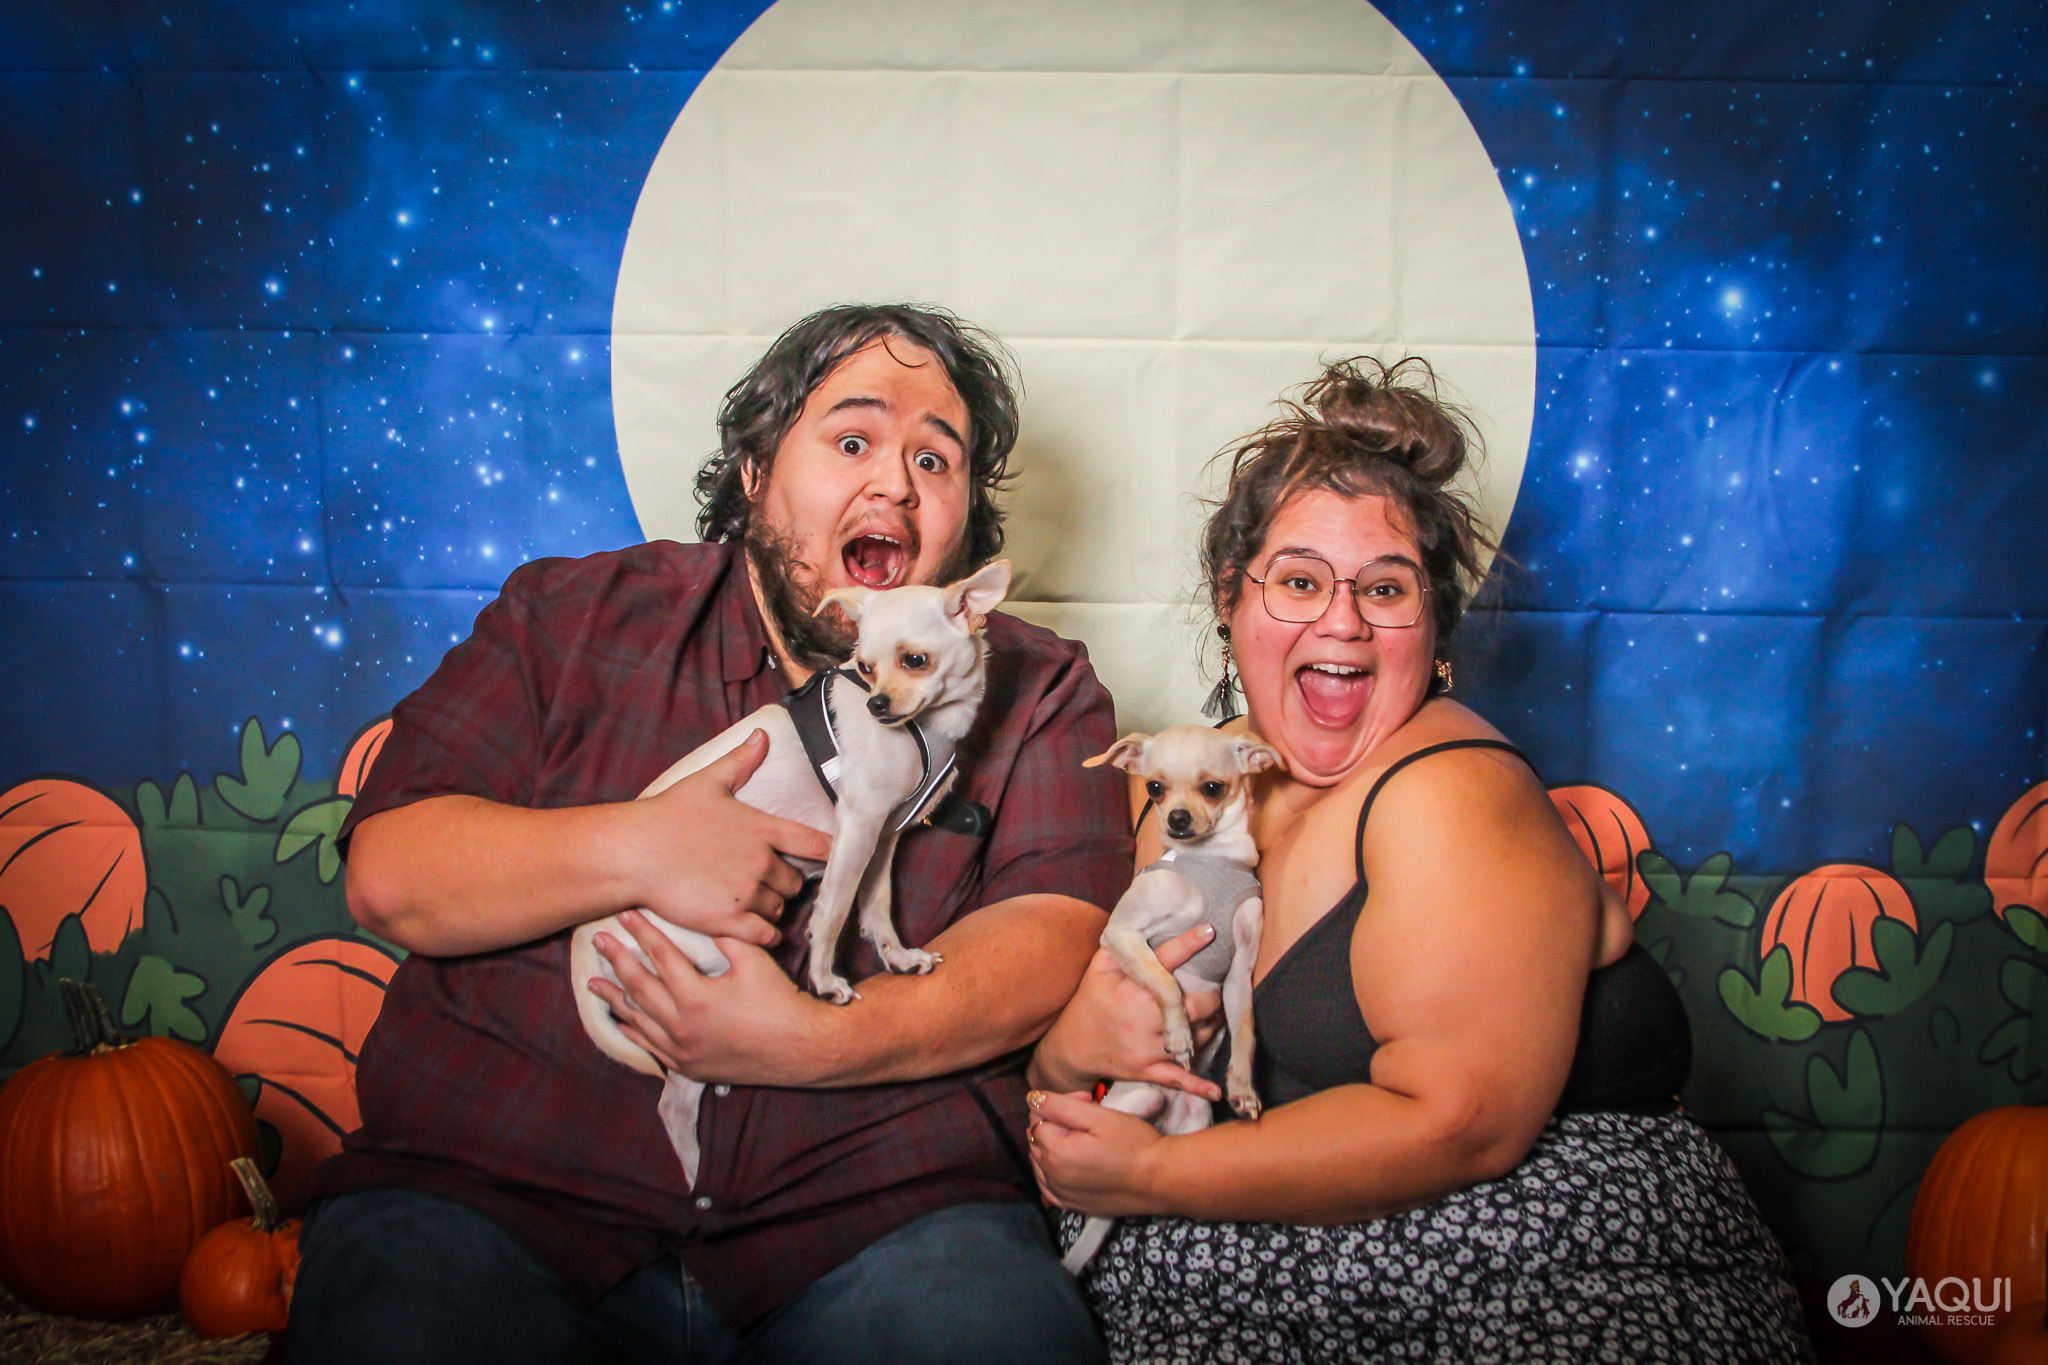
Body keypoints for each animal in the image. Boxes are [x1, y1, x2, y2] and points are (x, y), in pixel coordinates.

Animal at [569, 559, 1011, 1184]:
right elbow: (834, 913)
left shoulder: (884, 838)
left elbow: (876, 908)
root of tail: (587, 935)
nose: (877, 705)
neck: (931, 726)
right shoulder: (858, 826)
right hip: (707, 949)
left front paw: (899, 957)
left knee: (672, 1101)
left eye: (914, 660)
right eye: (864, 667)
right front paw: (826, 980)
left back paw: (691, 1169)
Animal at [1061, 724, 1280, 1274]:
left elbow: (1245, 1031)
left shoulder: (1239, 972)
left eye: (1213, 788)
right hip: (1136, 1098)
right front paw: (1179, 1035)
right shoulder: (1122, 935)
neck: (1212, 860)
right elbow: (1162, 981)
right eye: (1155, 788)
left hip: (1193, 1123)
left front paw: (1242, 1087)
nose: (1178, 820)